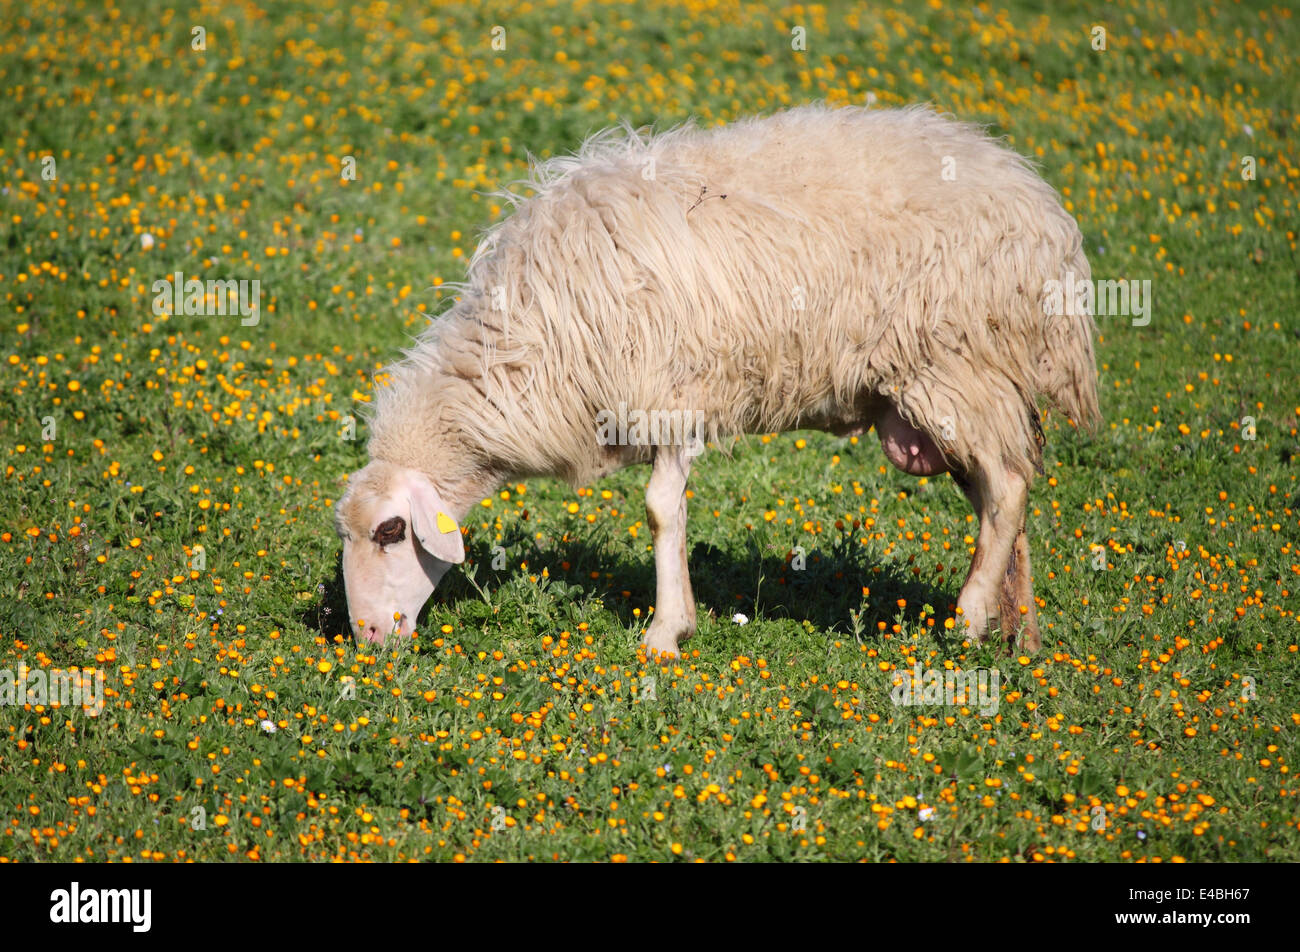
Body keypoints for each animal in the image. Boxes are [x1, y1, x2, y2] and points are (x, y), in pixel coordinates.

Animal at [335, 102, 1097, 655]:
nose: (366, 638)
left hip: (953, 361)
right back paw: (1019, 633)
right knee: (1004, 492)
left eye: (391, 532)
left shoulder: (668, 394)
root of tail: (1038, 205)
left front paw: (664, 633)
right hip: (965, 387)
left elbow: (659, 509)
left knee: (1007, 488)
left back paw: (968, 620)